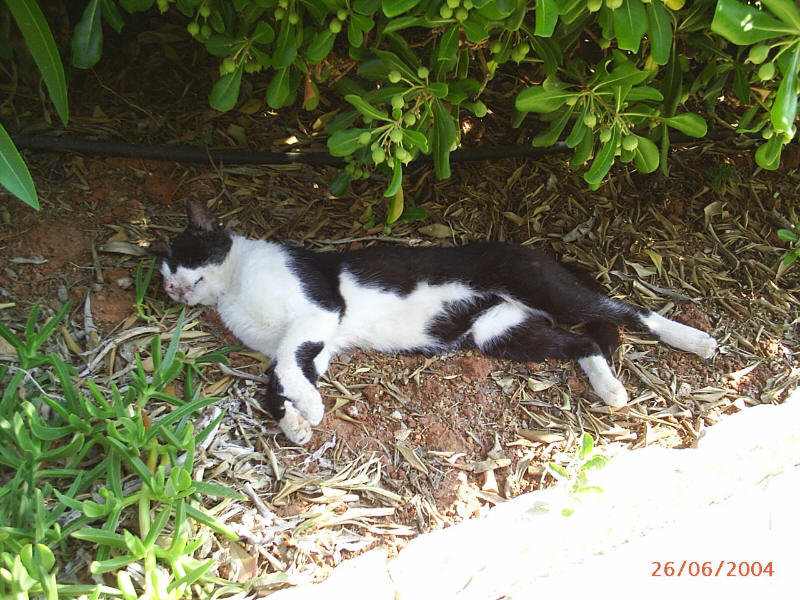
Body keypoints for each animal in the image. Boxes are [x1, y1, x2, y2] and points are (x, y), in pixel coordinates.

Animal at [159, 199, 717, 445]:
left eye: (180, 257)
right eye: (161, 274)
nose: (169, 288)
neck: (233, 288)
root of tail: (539, 250)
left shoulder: (317, 313)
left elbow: (287, 370)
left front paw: (310, 409)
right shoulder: (315, 344)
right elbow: (276, 378)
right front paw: (294, 421)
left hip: (544, 291)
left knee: (623, 312)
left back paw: (697, 340)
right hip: (500, 332)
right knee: (585, 343)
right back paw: (611, 389)